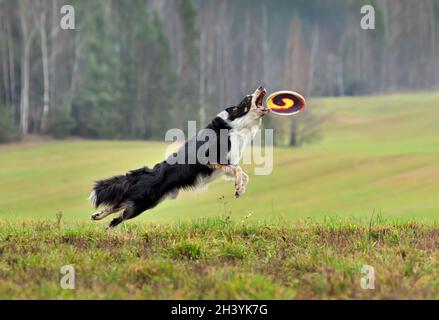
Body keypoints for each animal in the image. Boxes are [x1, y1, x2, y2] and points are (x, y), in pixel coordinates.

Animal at [90, 86, 268, 229]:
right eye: (248, 98)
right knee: (116, 218)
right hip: (142, 203)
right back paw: (108, 231)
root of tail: (146, 172)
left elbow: (243, 174)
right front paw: (238, 187)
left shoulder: (226, 166)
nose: (261, 86)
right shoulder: (212, 159)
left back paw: (97, 216)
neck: (236, 125)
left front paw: (240, 189)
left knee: (117, 206)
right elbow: (238, 170)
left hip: (147, 202)